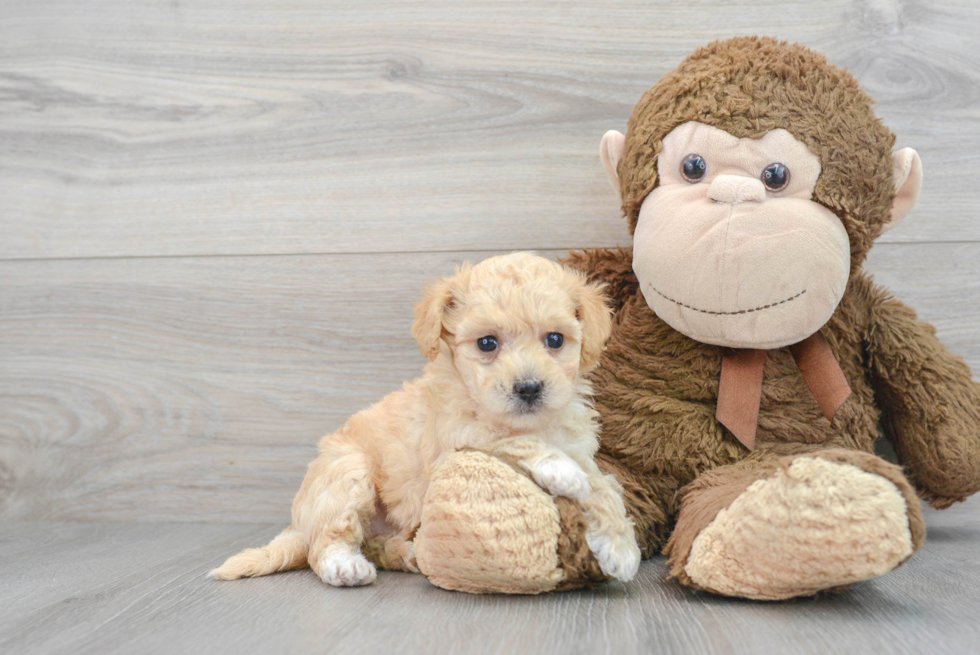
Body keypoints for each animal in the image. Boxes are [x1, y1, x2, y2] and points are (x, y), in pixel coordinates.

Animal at [212, 254, 644, 588]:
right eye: (487, 343)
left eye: (555, 340)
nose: (529, 388)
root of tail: (299, 524)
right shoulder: (454, 441)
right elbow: (506, 440)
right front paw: (559, 468)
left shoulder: (584, 452)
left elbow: (605, 488)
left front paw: (620, 546)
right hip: (346, 472)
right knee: (327, 541)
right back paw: (345, 565)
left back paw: (408, 554)